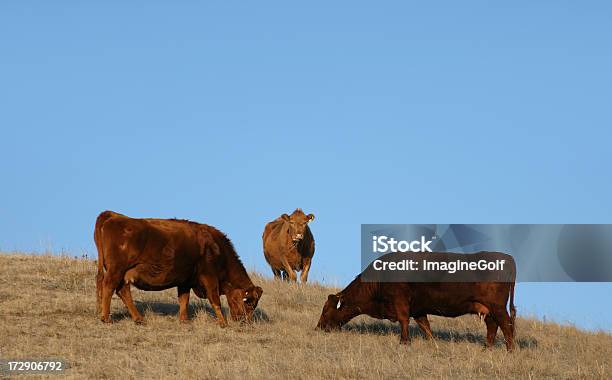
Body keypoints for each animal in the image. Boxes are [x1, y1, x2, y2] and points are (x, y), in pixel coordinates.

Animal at [94, 211, 262, 326]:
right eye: (249, 302)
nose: (246, 321)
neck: (216, 247)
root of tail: (113, 215)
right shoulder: (209, 277)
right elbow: (215, 300)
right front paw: (223, 323)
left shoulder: (185, 280)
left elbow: (184, 300)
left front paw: (184, 320)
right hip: (116, 270)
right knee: (109, 286)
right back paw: (106, 318)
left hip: (123, 274)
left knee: (123, 291)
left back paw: (138, 318)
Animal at [316, 252, 516, 350]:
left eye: (325, 310)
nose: (318, 327)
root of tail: (508, 258)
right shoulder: (419, 310)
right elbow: (425, 327)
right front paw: (432, 343)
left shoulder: (401, 302)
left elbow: (404, 321)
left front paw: (404, 342)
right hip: (487, 309)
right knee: (492, 327)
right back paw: (487, 348)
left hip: (498, 307)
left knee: (507, 326)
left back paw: (510, 349)